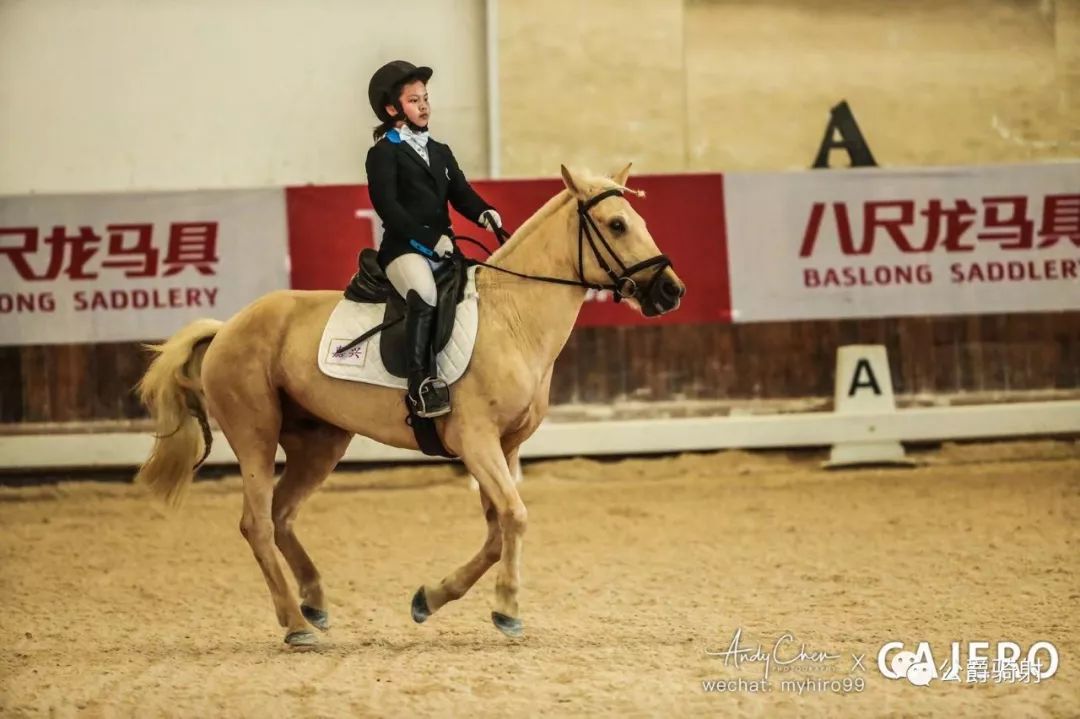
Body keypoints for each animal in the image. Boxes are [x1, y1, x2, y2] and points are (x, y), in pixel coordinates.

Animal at [137, 164, 682, 643]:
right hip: (255, 437)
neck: (512, 317)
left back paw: (314, 603)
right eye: (617, 224)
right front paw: (507, 610)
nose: (671, 291)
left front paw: (429, 598)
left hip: (320, 443)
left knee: (282, 515)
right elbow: (515, 516)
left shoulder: (504, 446)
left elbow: (496, 531)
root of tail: (227, 327)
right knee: (257, 524)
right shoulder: (476, 441)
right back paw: (294, 624)